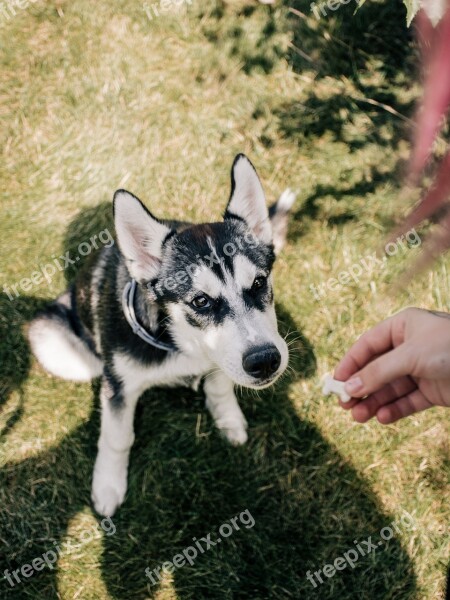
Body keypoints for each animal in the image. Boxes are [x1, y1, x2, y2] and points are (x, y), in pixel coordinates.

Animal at [28, 155, 296, 516]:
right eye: (200, 301)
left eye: (258, 283)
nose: (266, 361)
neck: (184, 344)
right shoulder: (119, 387)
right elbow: (117, 437)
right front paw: (108, 484)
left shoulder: (221, 358)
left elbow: (220, 386)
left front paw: (228, 419)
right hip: (55, 341)